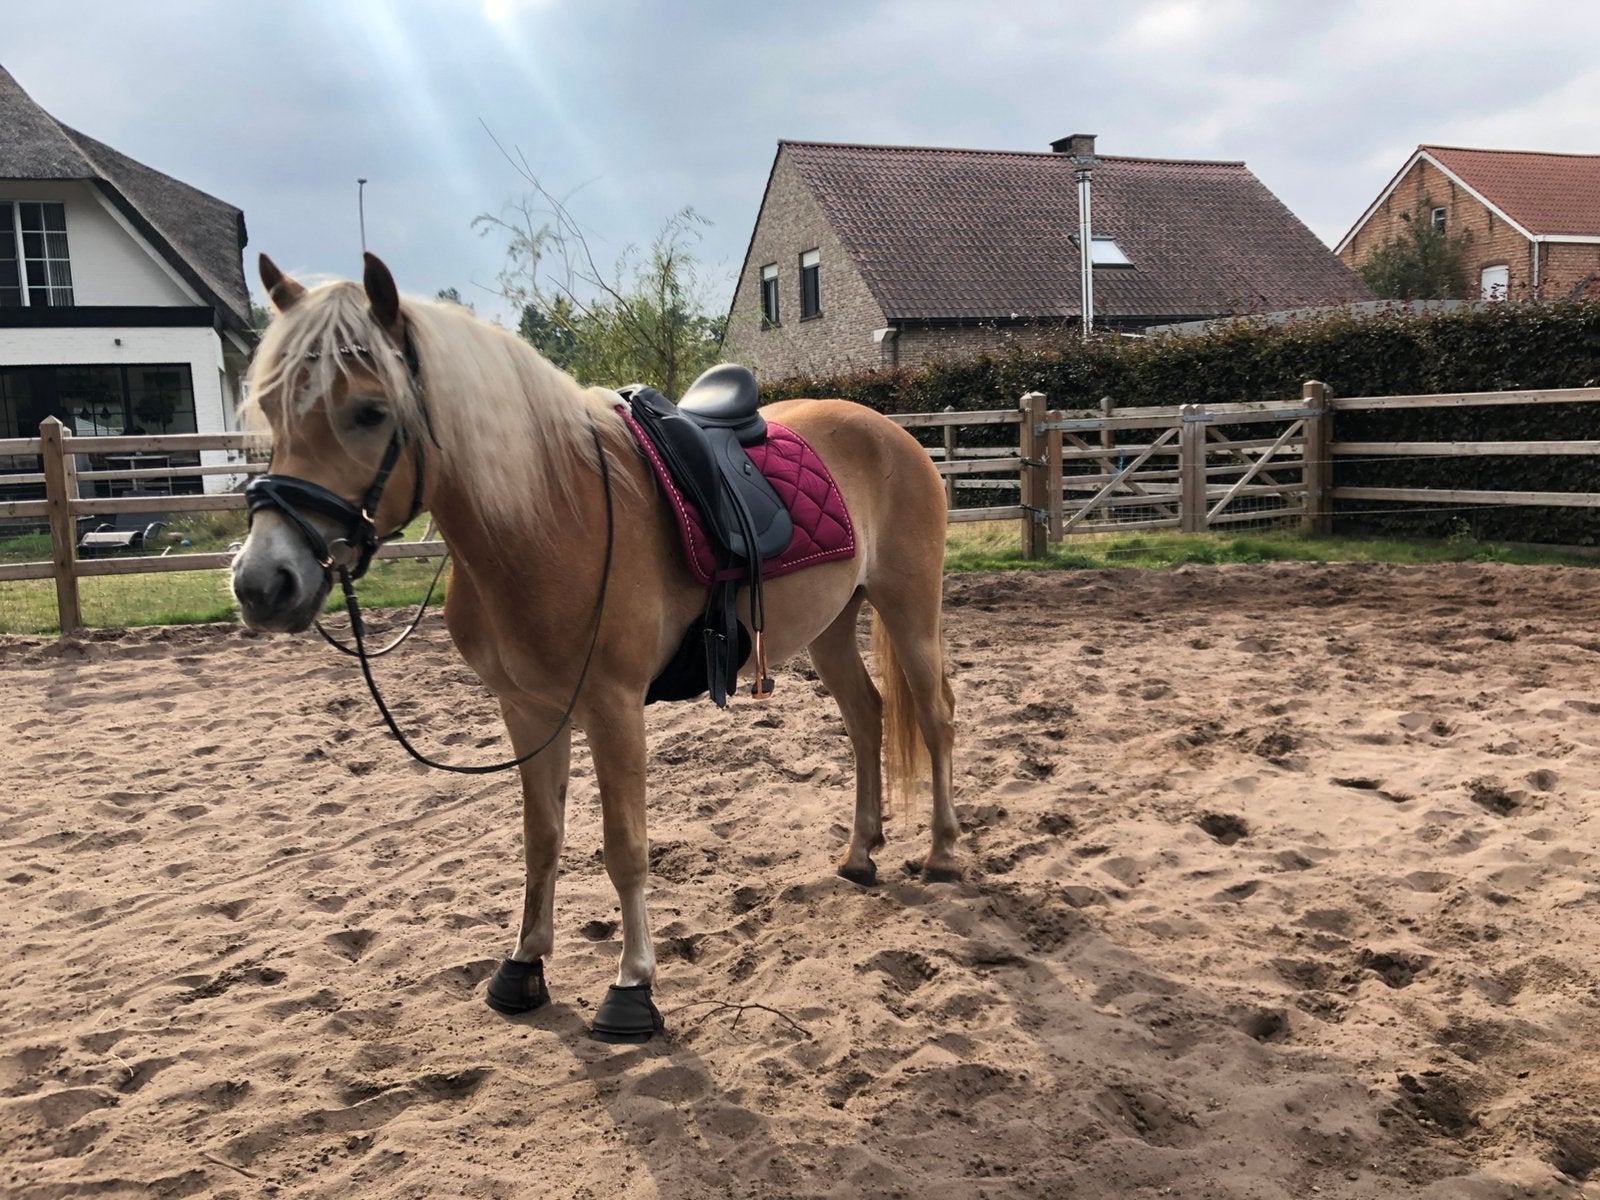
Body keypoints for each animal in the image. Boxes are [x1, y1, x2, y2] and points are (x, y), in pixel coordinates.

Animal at [231, 252, 957, 1041]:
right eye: (270, 407)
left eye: (369, 411)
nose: (262, 583)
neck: (546, 519)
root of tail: (893, 432)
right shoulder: (527, 710)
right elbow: (541, 838)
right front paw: (523, 966)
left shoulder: (614, 709)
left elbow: (624, 847)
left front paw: (632, 987)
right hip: (828, 629)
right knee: (866, 718)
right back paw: (860, 854)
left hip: (910, 610)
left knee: (935, 719)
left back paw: (944, 853)